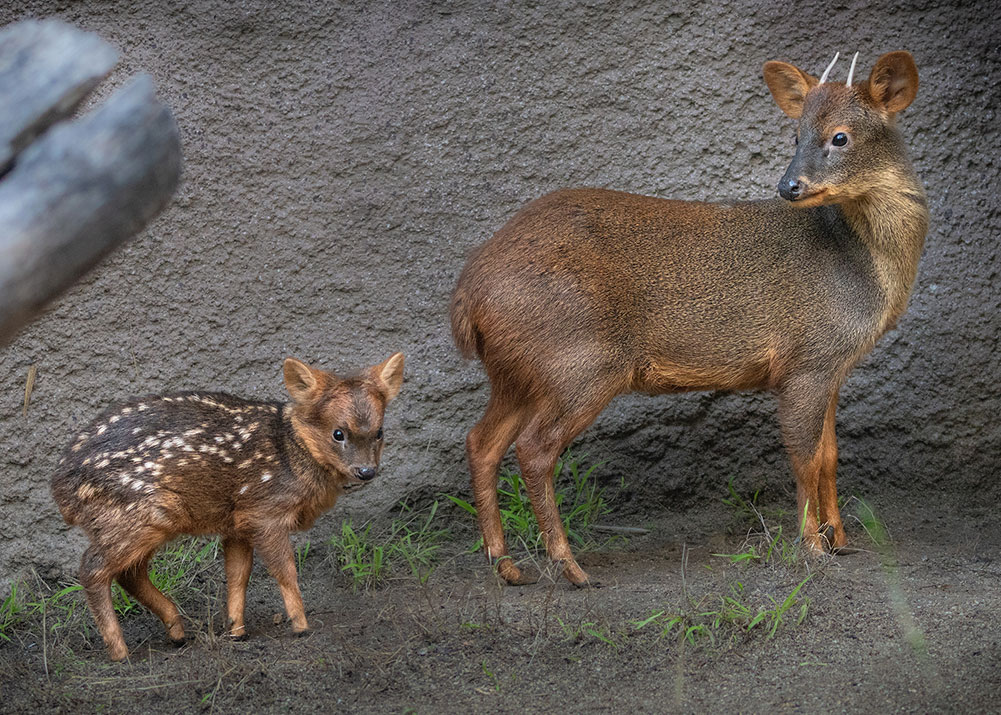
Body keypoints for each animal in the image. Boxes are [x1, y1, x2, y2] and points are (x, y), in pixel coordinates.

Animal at [51, 353, 404, 661]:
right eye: (338, 433)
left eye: (380, 432)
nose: (366, 471)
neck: (292, 452)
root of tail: (60, 488)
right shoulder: (266, 511)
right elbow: (285, 571)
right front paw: (301, 626)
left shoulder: (238, 520)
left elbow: (237, 574)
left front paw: (236, 631)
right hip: (137, 514)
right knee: (93, 568)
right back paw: (120, 652)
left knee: (129, 573)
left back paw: (177, 632)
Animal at [450, 51, 928, 587]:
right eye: (795, 135)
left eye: (840, 136)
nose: (789, 186)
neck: (866, 269)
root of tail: (468, 295)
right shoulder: (806, 361)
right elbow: (804, 458)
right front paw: (812, 547)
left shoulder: (832, 368)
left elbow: (829, 455)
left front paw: (841, 540)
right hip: (579, 362)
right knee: (533, 450)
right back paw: (570, 567)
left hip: (517, 371)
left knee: (482, 442)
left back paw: (506, 564)